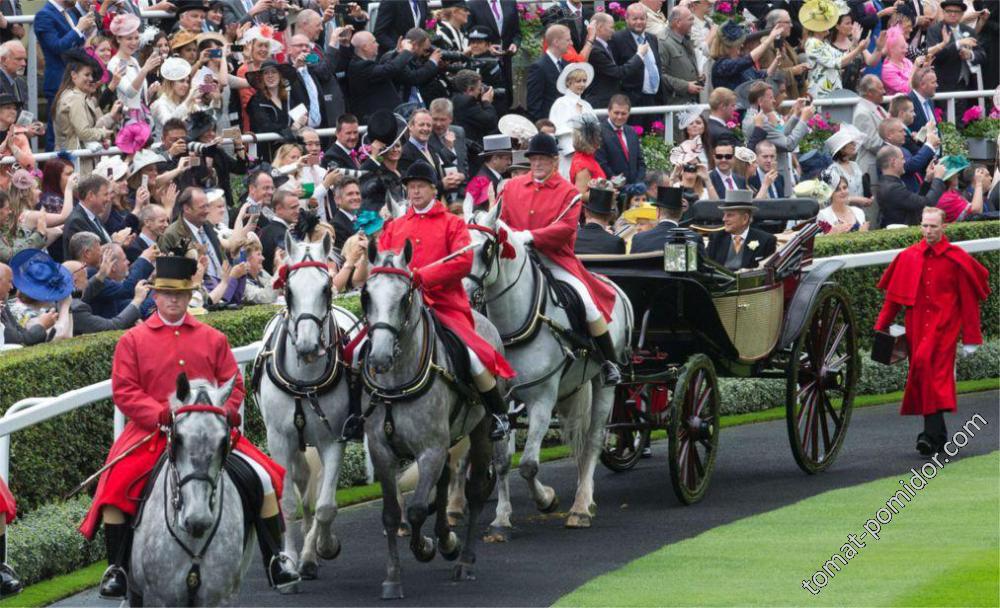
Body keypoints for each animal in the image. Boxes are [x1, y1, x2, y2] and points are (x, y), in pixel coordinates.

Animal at [254, 229, 360, 580]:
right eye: (288, 291)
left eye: (326, 288)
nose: (308, 345)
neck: (305, 382)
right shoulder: (279, 439)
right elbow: (288, 502)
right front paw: (288, 559)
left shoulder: (334, 438)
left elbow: (327, 504)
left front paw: (323, 547)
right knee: (302, 479)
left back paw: (312, 552)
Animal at [362, 242, 498, 600]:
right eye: (366, 295)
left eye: (404, 297)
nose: (379, 357)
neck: (397, 382)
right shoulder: (382, 450)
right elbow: (391, 513)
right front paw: (393, 577)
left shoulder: (431, 449)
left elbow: (416, 509)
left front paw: (424, 546)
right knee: (445, 479)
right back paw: (447, 538)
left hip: (481, 430)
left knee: (475, 490)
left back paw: (463, 559)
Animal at [460, 202, 632, 536]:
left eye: (486, 248)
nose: (459, 294)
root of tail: (610, 285)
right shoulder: (499, 404)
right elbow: (502, 462)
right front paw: (501, 518)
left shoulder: (541, 399)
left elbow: (528, 464)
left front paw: (546, 500)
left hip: (603, 384)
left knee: (593, 440)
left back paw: (581, 506)